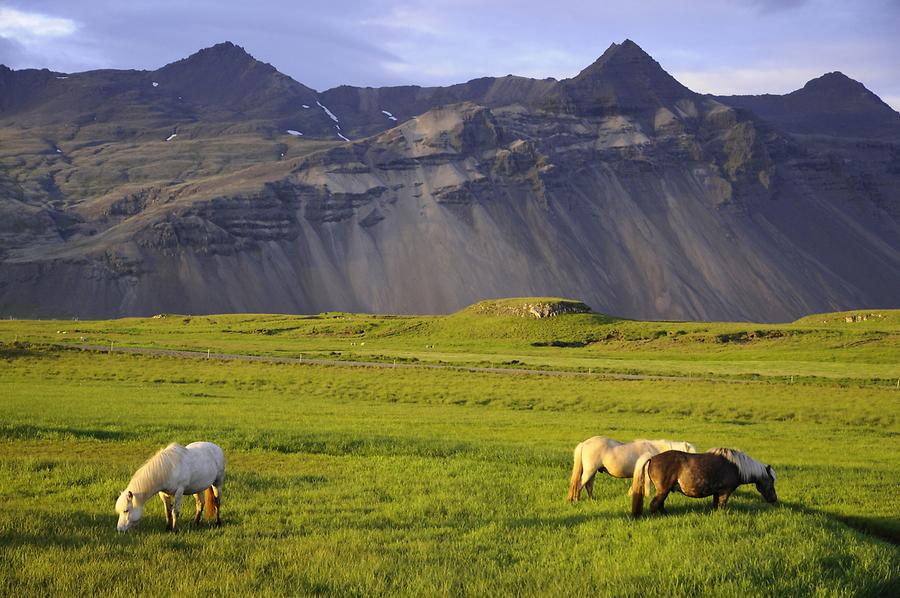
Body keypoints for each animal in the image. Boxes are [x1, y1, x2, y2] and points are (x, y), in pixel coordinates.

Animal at [568, 436, 696, 502]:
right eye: (692, 453)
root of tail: (584, 443)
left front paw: (630, 495)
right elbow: (647, 487)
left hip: (592, 472)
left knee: (588, 485)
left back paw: (591, 499)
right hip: (589, 471)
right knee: (580, 484)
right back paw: (576, 499)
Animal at [628, 448, 776, 516]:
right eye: (771, 481)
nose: (774, 499)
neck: (736, 467)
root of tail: (652, 458)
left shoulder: (717, 492)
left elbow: (715, 505)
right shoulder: (725, 492)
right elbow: (722, 506)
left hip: (664, 491)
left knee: (660, 504)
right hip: (663, 490)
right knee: (655, 505)